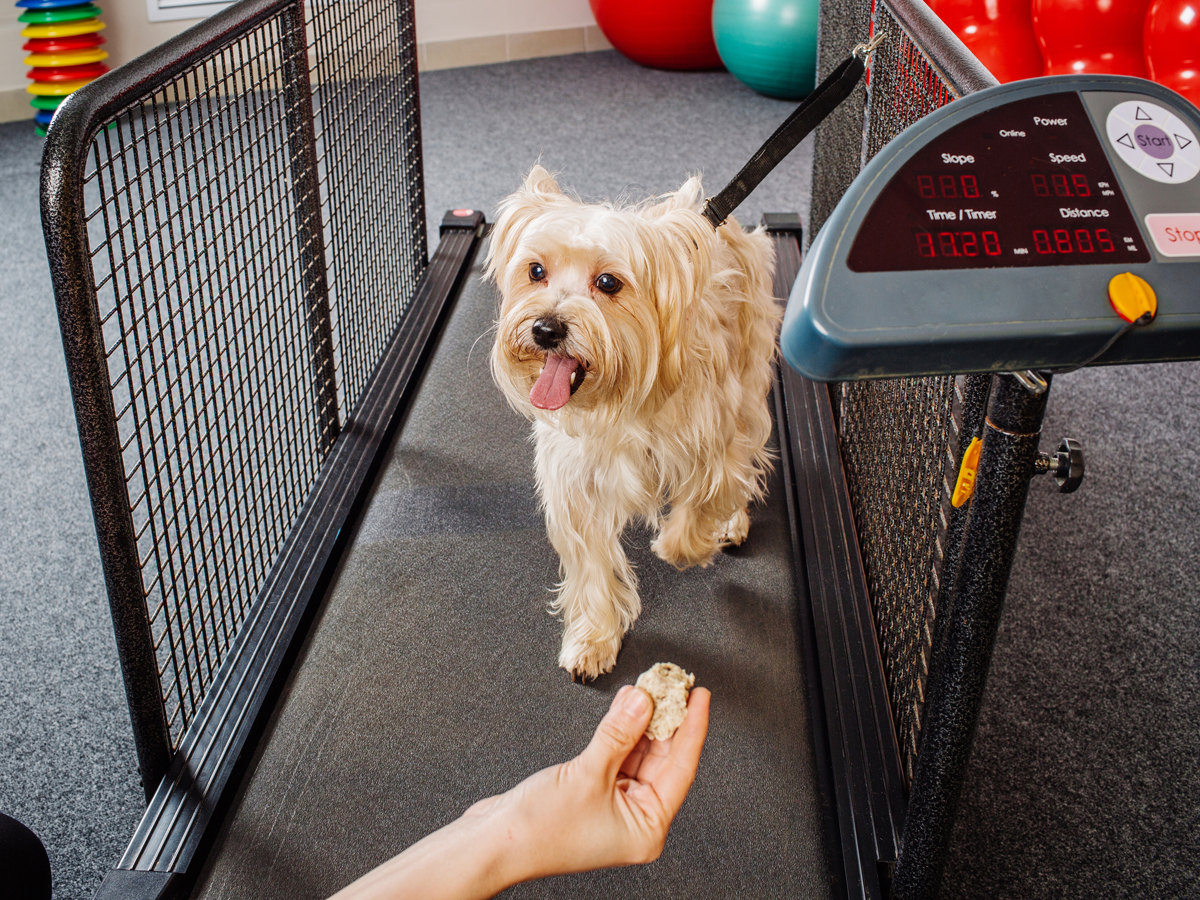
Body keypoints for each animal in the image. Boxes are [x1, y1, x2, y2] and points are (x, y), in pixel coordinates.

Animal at [482, 165, 782, 681]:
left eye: (608, 282)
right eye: (536, 271)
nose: (546, 328)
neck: (622, 398)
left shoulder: (716, 432)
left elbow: (713, 490)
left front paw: (683, 546)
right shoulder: (576, 480)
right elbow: (592, 567)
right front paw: (593, 639)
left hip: (750, 369)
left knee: (748, 456)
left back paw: (729, 522)